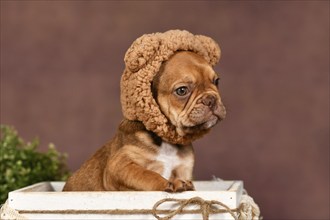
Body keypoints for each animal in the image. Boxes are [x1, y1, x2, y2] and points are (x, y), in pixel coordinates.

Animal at [62, 50, 226, 192]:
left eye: (216, 81)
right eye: (182, 91)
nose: (211, 99)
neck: (165, 141)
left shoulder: (184, 169)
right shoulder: (120, 165)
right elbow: (147, 174)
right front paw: (170, 183)